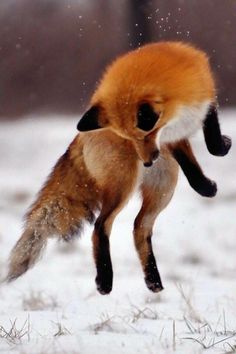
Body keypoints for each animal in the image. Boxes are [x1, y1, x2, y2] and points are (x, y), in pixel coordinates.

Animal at [6, 41, 231, 294]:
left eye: (145, 134)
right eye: (130, 138)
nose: (148, 161)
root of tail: (79, 137)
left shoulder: (191, 115)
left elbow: (198, 164)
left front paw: (207, 185)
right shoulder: (177, 131)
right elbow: (210, 149)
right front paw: (222, 151)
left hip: (164, 187)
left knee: (139, 227)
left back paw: (153, 280)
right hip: (124, 185)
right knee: (100, 225)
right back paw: (105, 280)